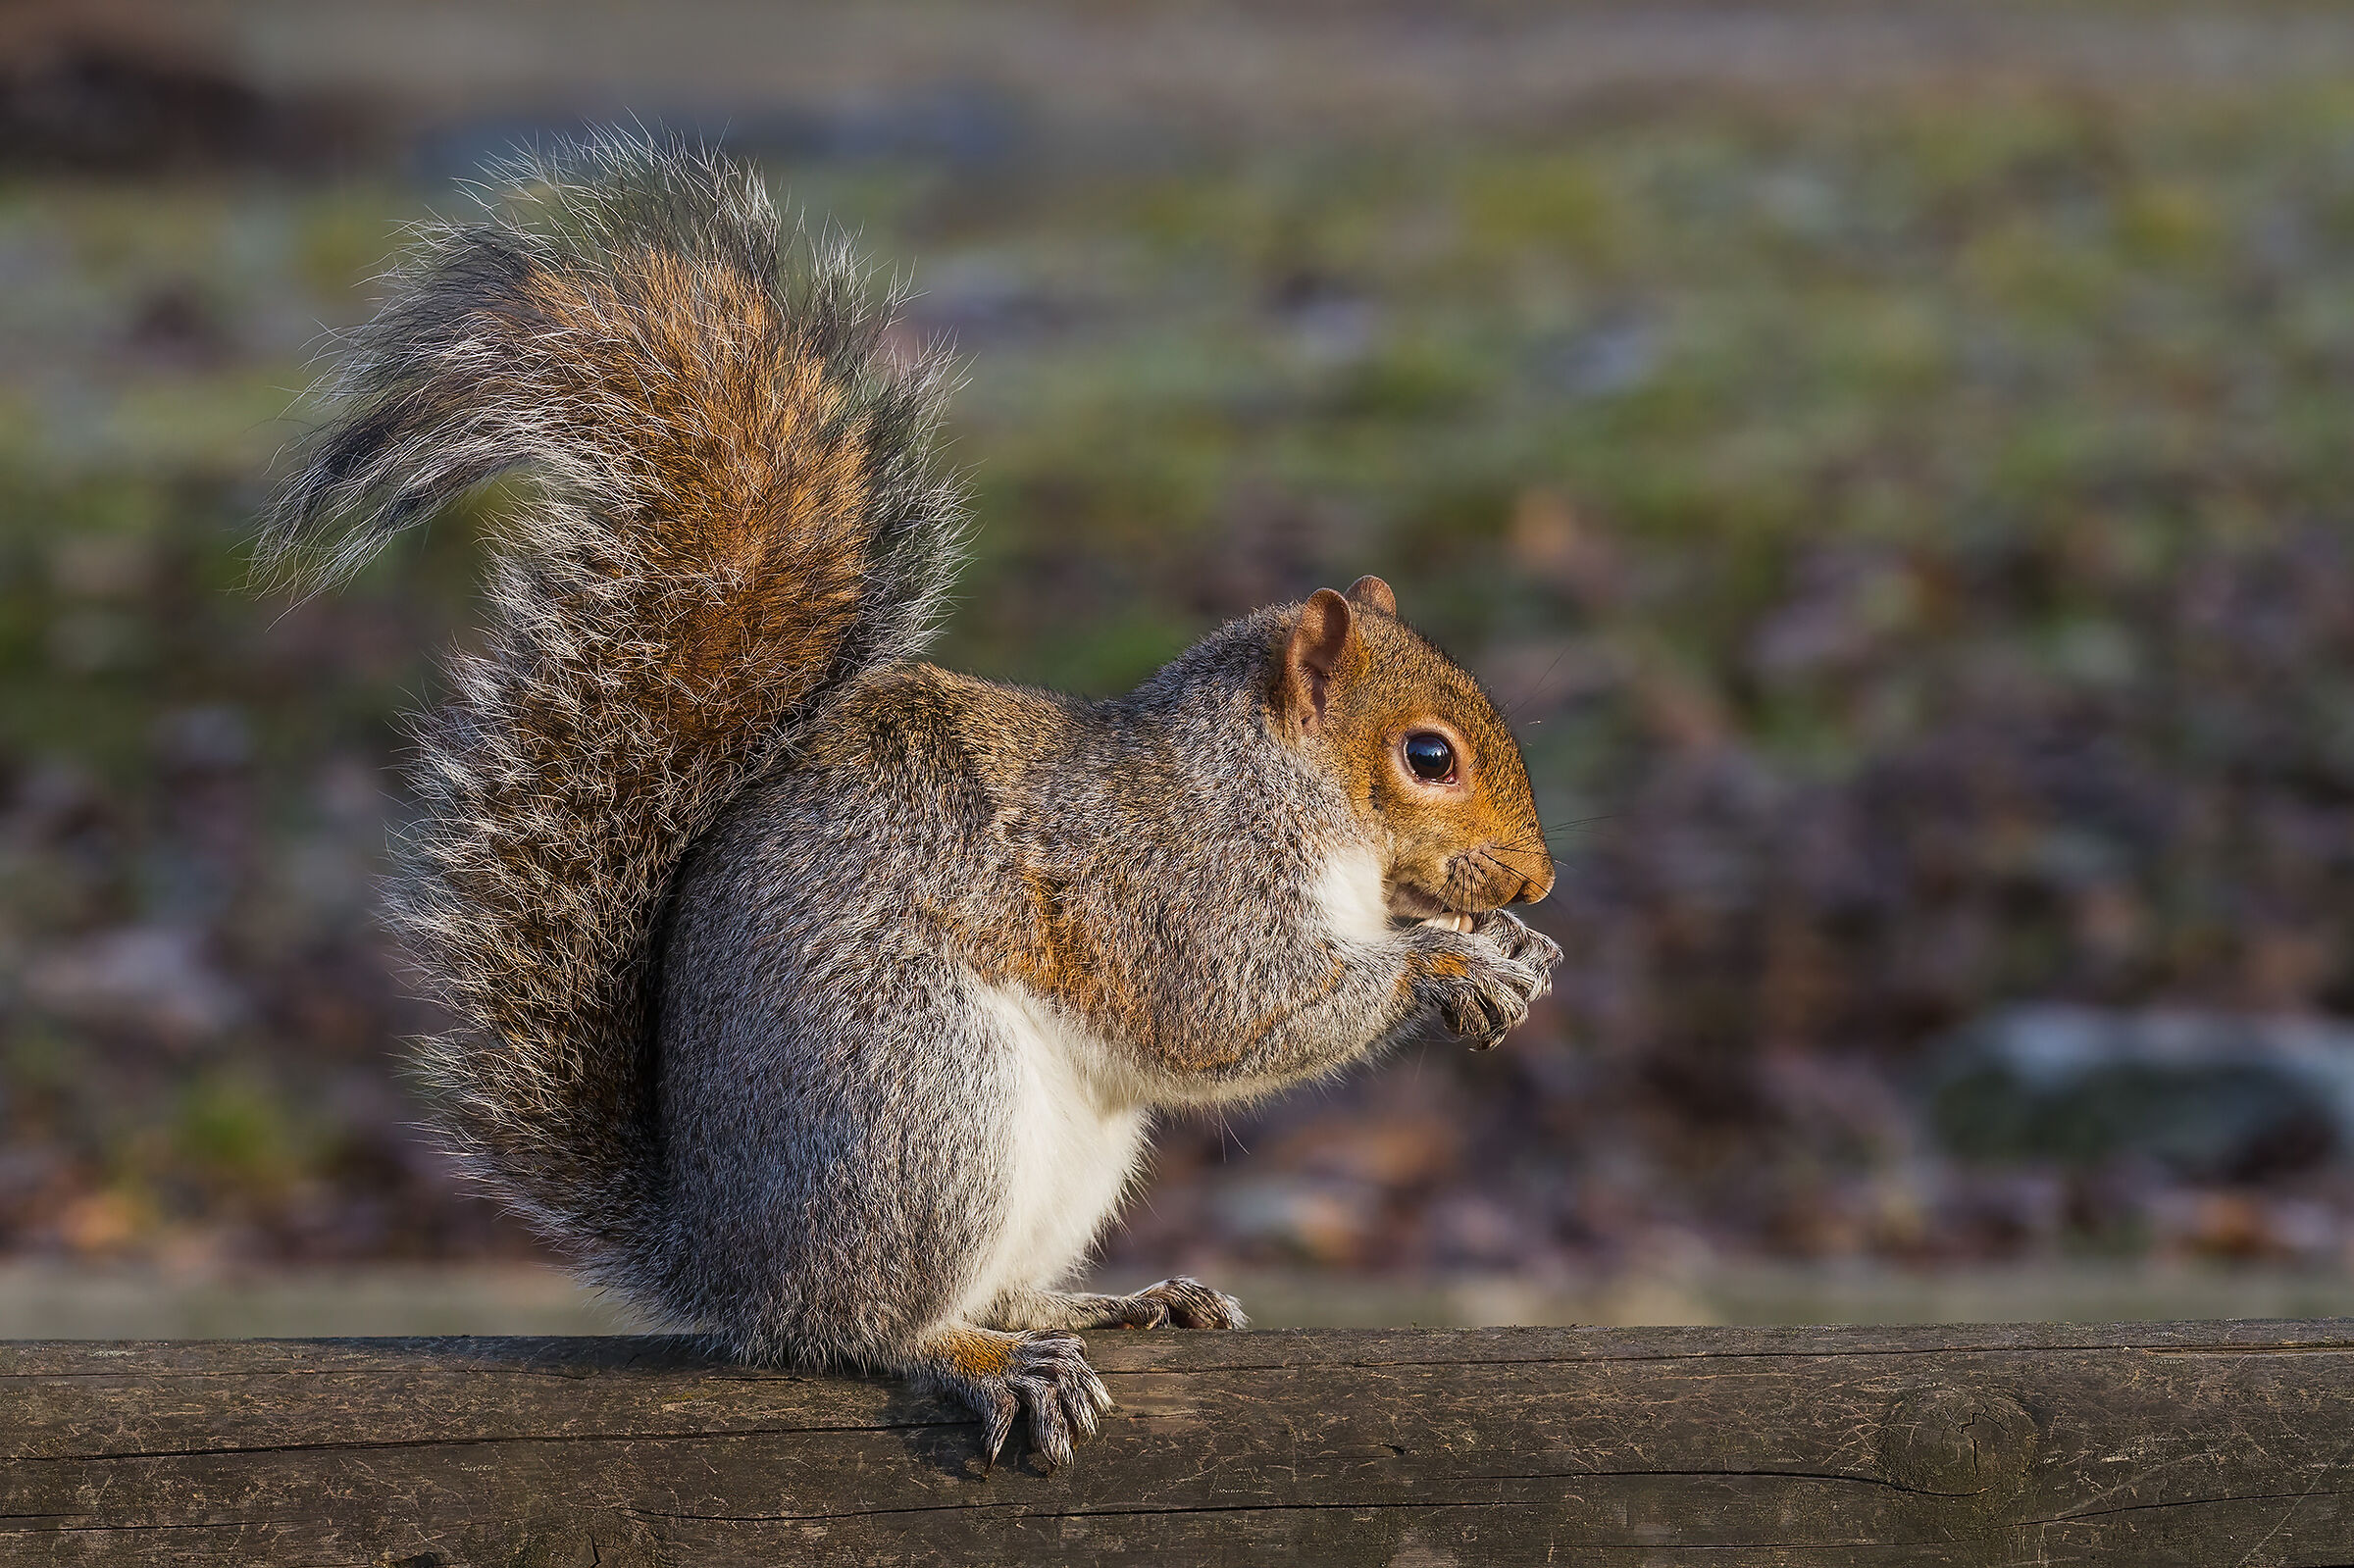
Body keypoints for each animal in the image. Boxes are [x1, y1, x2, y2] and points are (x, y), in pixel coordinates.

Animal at [257, 134, 1561, 1471]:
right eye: (1428, 757)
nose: (1538, 875)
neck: (1281, 789)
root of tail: (724, 1264)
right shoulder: (1170, 876)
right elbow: (1228, 1010)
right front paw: (1451, 963)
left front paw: (1513, 943)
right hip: (919, 1099)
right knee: (868, 1327)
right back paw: (981, 1359)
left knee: (993, 1286)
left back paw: (1116, 1304)